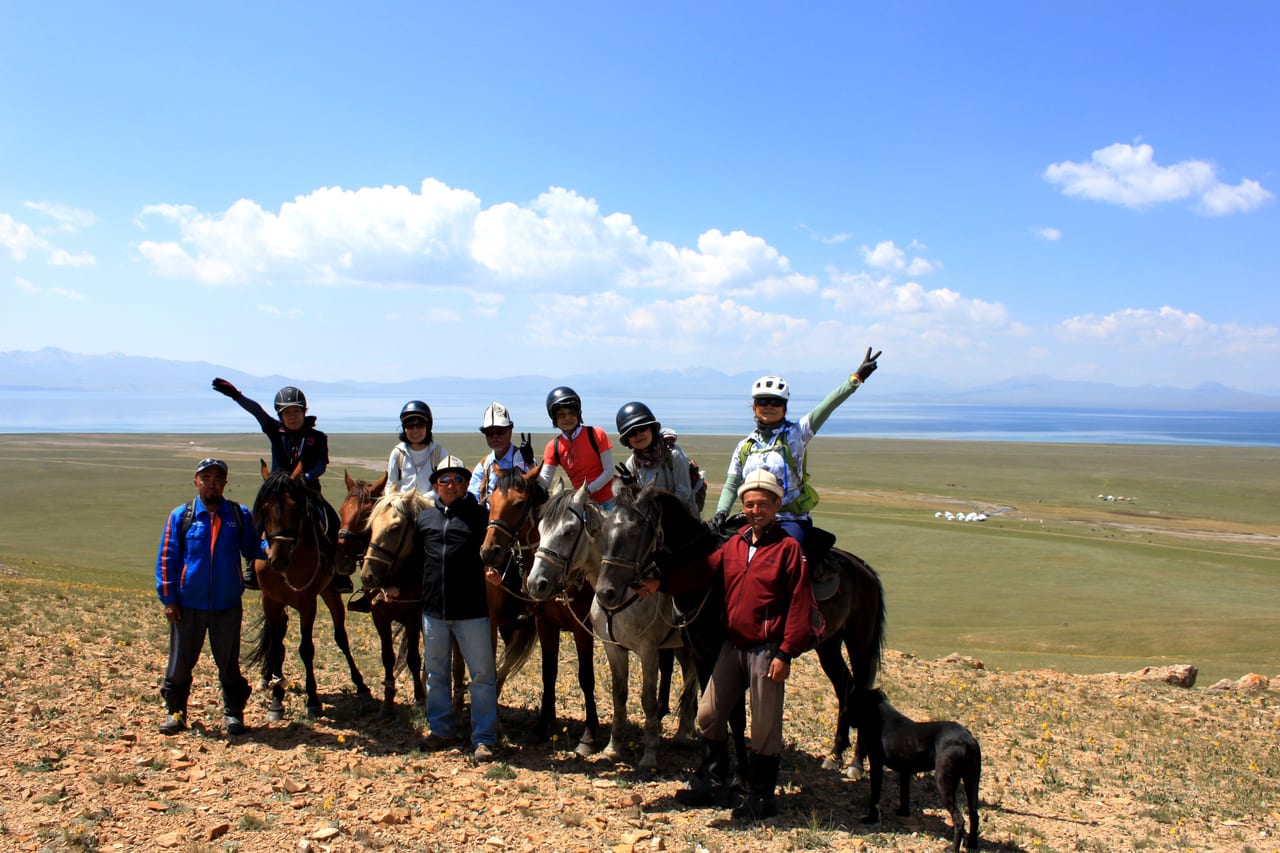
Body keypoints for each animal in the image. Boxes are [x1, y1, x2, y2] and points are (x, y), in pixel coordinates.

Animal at [244, 458, 373, 717]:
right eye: (264, 508)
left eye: (295, 509)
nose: (278, 558)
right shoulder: (270, 600)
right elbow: (276, 647)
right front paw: (276, 700)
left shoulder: (308, 603)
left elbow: (306, 649)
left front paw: (312, 699)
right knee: (278, 635)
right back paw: (268, 677)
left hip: (329, 592)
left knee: (341, 636)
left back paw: (360, 684)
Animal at [481, 466, 599, 753]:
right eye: (490, 500)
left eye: (519, 504)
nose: (489, 552)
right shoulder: (544, 624)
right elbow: (548, 672)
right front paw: (543, 725)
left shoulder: (583, 629)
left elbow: (586, 676)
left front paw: (589, 735)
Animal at [855, 686, 983, 850]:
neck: (882, 715)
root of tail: (967, 739)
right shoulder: (905, 771)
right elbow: (904, 794)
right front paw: (903, 812)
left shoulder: (876, 767)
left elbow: (875, 797)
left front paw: (870, 818)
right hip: (972, 780)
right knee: (974, 814)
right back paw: (971, 844)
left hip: (944, 783)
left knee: (959, 820)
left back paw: (953, 848)